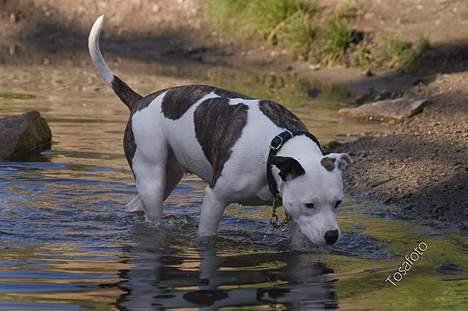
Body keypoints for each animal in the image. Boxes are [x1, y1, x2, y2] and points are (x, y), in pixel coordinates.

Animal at [88, 16, 352, 246]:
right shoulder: (215, 199)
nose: (331, 235)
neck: (276, 146)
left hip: (168, 177)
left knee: (136, 204)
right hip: (151, 176)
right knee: (152, 215)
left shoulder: (294, 213)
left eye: (338, 203)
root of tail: (140, 101)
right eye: (310, 205)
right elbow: (207, 236)